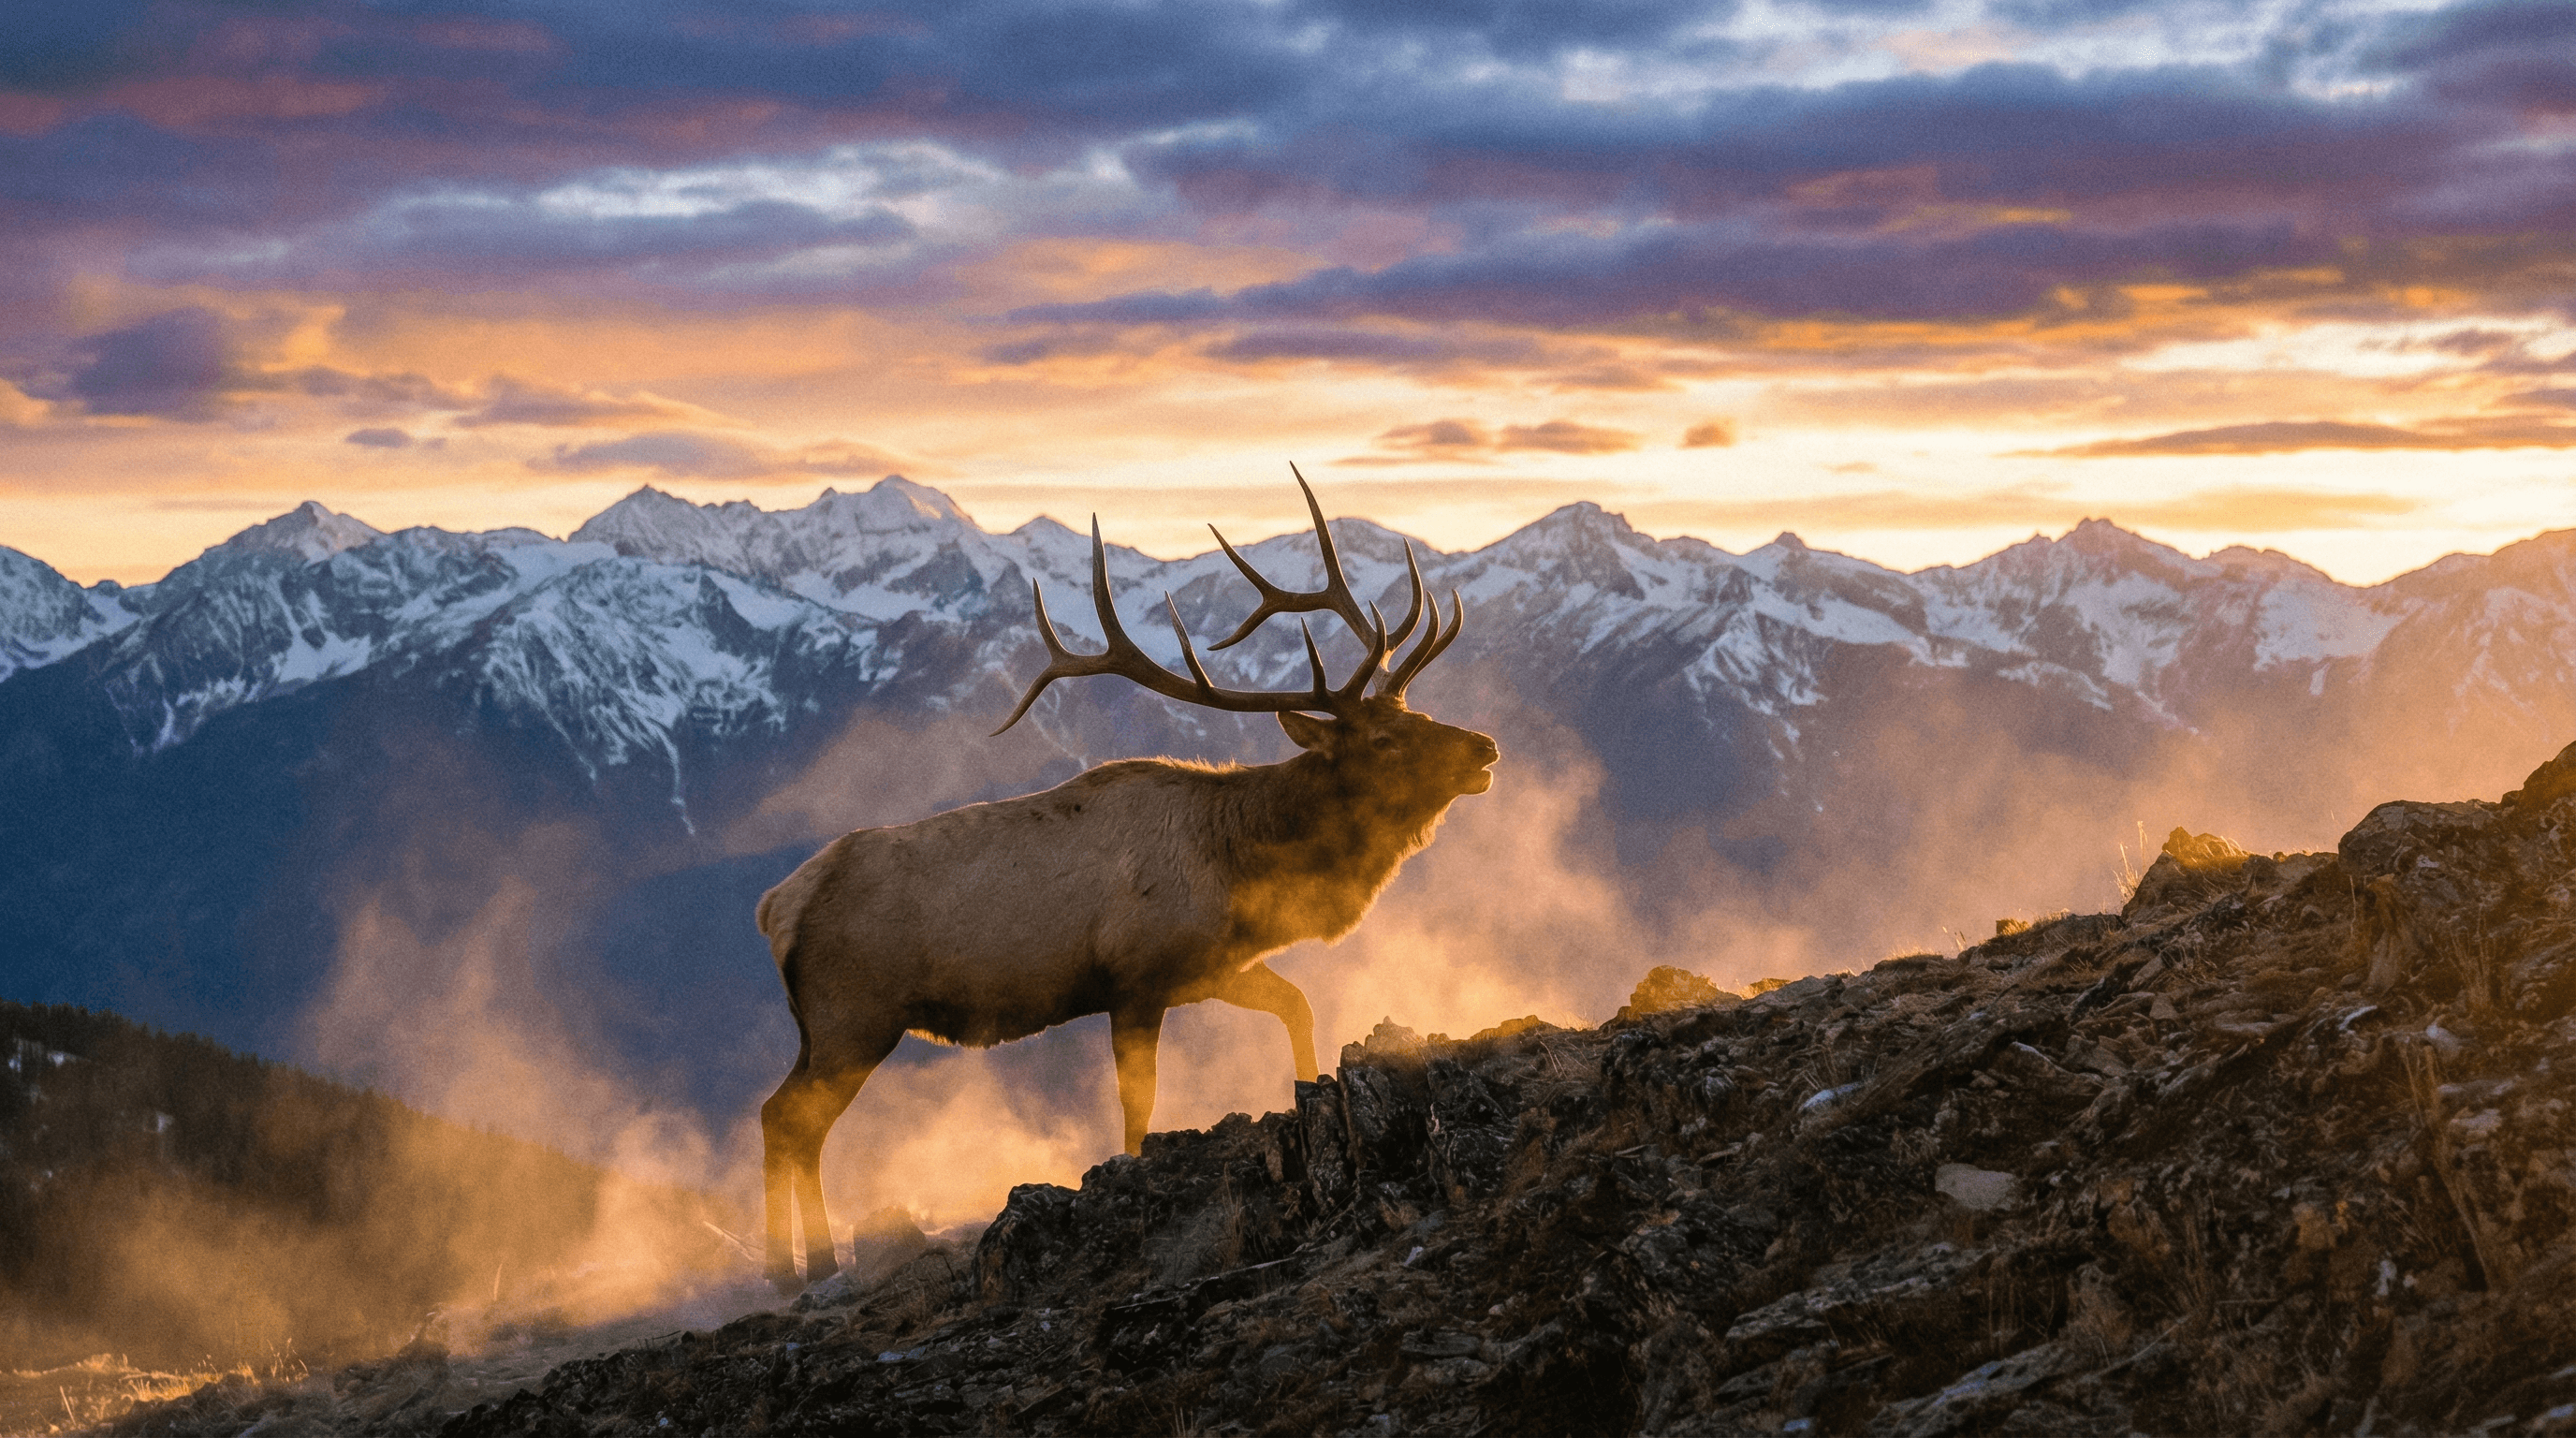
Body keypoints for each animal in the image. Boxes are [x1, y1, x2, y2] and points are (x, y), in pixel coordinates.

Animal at [753, 471, 1498, 1291]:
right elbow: (1138, 1108)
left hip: (821, 1025)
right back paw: (797, 1267)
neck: (1240, 866)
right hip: (855, 1014)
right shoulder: (1134, 980)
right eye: (1386, 739)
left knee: (778, 1114)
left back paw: (803, 1264)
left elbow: (1297, 1007)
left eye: (1417, 712)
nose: (1485, 748)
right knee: (790, 1119)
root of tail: (776, 906)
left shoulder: (1210, 968)